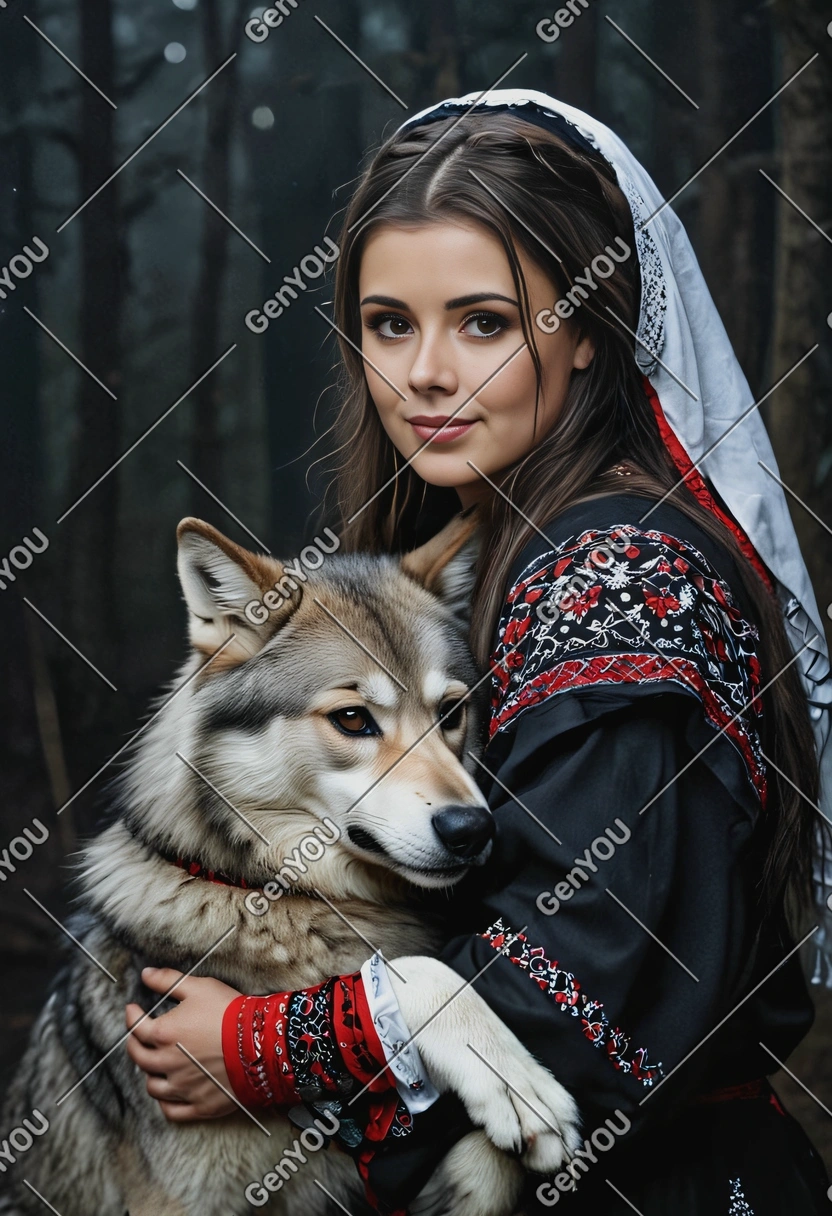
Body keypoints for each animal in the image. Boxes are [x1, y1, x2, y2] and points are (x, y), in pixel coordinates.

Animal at [0, 513, 579, 1215]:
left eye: (450, 714)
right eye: (353, 719)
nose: (473, 830)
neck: (270, 896)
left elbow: (484, 1169)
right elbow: (421, 971)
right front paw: (512, 1078)